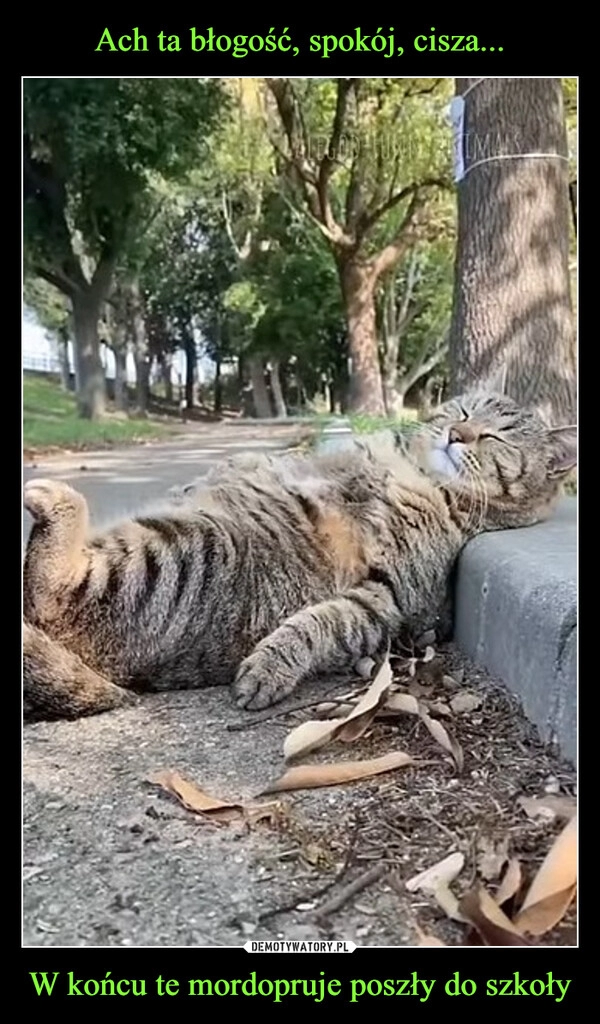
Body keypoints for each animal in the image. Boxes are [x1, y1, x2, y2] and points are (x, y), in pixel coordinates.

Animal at [23, 389, 573, 720]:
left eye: (497, 436)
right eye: (463, 413)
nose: (456, 436)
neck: (419, 472)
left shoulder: (392, 600)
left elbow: (319, 626)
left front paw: (271, 664)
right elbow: (271, 462)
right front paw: (224, 472)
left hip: (191, 548)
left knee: (48, 591)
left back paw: (54, 499)